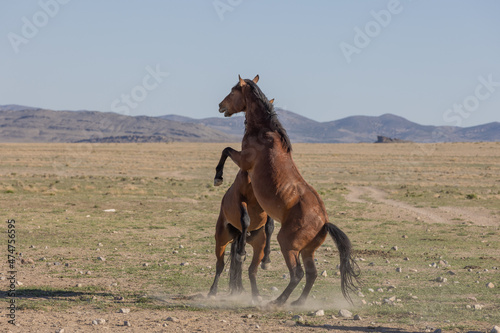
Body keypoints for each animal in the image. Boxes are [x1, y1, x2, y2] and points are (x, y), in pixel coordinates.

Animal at [215, 75, 360, 306]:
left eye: (233, 89)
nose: (221, 106)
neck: (264, 131)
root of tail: (324, 222)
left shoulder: (244, 160)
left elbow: (226, 150)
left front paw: (218, 177)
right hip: (308, 251)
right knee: (311, 274)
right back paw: (297, 302)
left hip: (287, 245)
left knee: (297, 274)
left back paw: (278, 301)